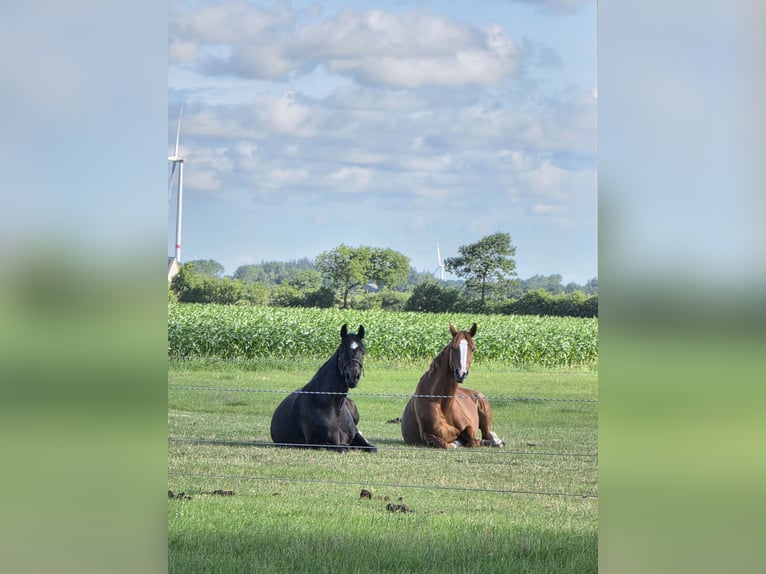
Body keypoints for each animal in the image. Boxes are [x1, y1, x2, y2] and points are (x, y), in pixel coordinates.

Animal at [270, 324, 377, 453]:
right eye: (342, 350)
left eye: (363, 351)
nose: (353, 377)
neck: (333, 407)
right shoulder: (318, 442)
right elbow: (344, 448)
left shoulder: (355, 436)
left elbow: (371, 447)